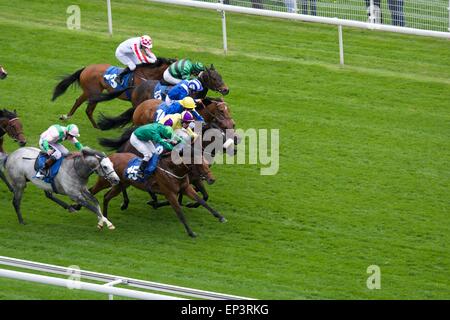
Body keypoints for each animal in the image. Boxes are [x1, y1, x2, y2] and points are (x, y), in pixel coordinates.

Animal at [90, 150, 227, 238]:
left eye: (207, 163)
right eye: (199, 164)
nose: (212, 179)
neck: (173, 170)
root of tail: (110, 157)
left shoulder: (186, 188)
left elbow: (202, 201)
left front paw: (220, 217)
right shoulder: (170, 194)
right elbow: (180, 212)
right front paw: (191, 233)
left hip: (121, 184)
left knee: (106, 197)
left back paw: (105, 218)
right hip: (104, 181)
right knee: (91, 191)